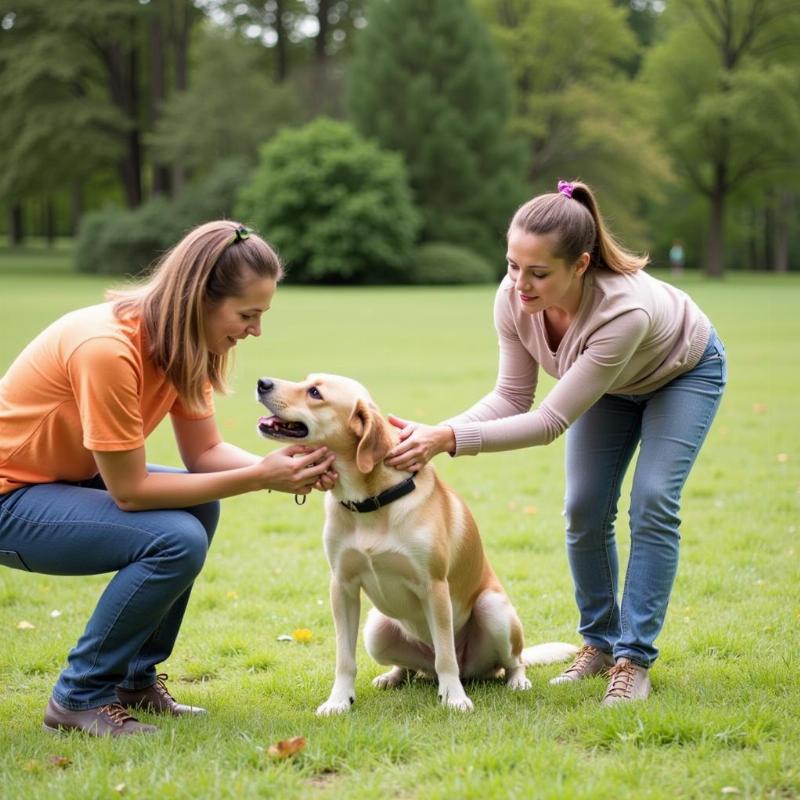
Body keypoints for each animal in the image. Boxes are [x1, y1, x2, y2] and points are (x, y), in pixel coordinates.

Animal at [256, 374, 576, 712]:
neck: (371, 502)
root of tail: (471, 670)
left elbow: (446, 656)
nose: (263, 382)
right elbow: (344, 659)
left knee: (509, 660)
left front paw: (454, 697)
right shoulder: (342, 586)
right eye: (305, 381)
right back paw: (393, 676)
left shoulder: (434, 586)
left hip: (493, 609)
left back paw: (515, 681)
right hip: (376, 628)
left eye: (315, 392)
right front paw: (339, 700)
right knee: (414, 668)